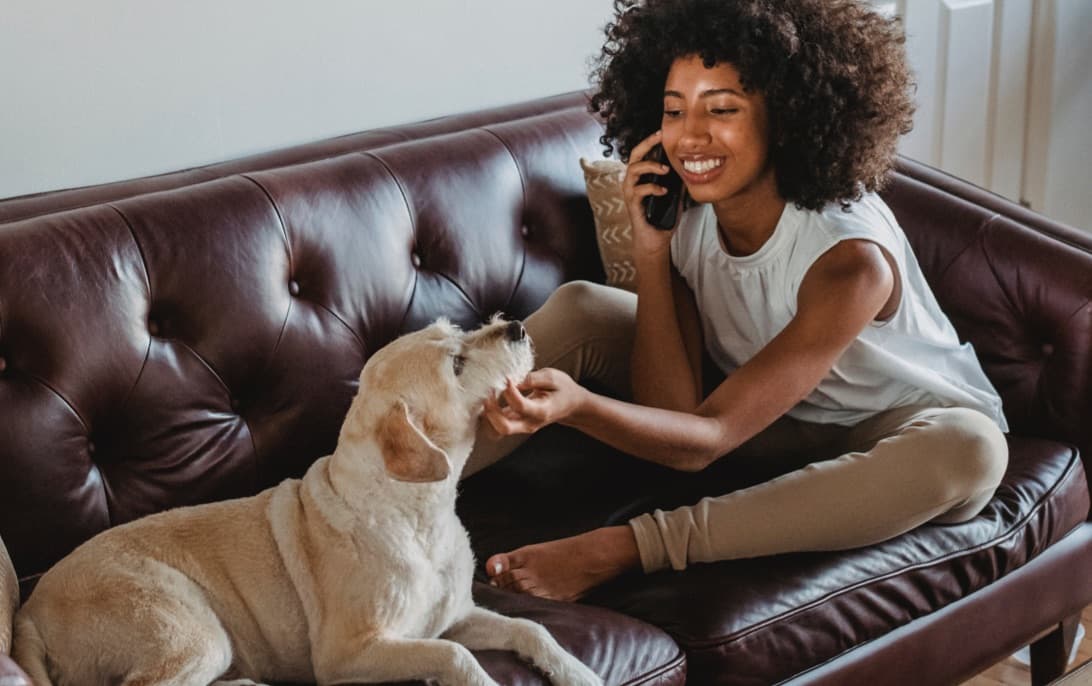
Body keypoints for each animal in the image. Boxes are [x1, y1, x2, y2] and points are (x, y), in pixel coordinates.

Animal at [8, 316, 602, 686]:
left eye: (457, 332)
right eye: (455, 364)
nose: (517, 326)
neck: (418, 513)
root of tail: (30, 610)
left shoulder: (453, 615)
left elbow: (530, 627)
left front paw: (579, 671)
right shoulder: (351, 652)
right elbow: (455, 656)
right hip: (191, 629)